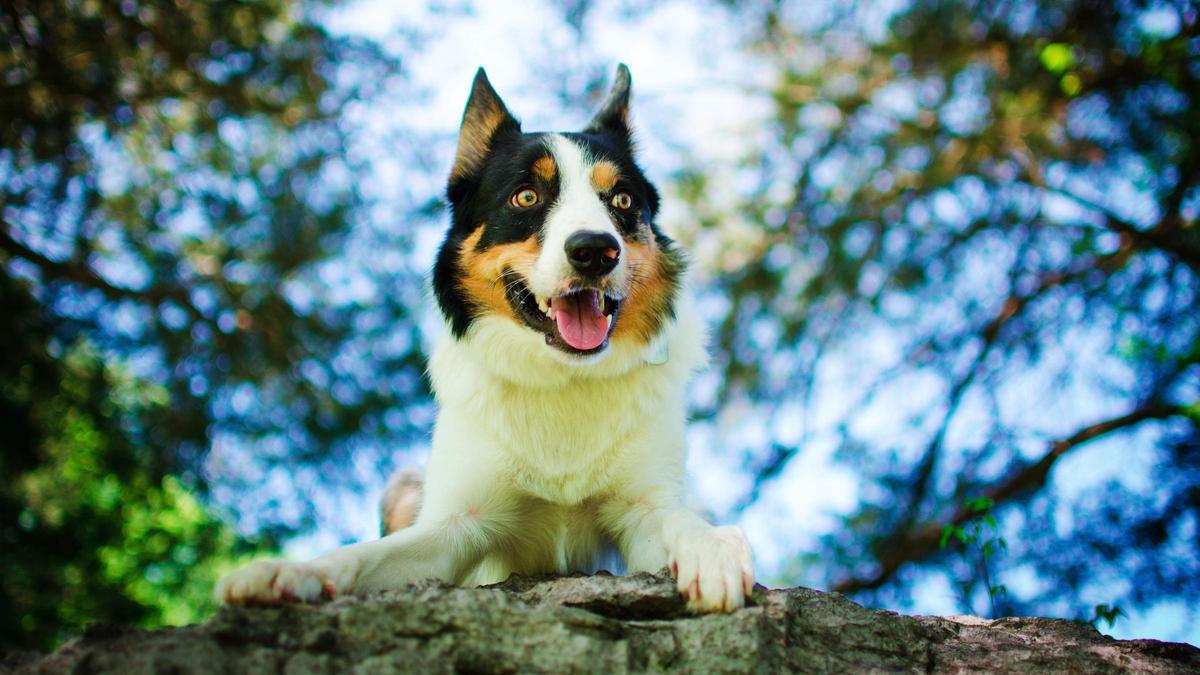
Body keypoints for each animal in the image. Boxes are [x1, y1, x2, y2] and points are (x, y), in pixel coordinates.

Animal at [216, 65, 753, 612]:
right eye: (526, 196)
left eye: (622, 200)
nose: (596, 250)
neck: (561, 378)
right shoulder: (455, 526)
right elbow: (361, 555)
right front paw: (290, 571)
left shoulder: (641, 513)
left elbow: (675, 518)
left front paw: (712, 547)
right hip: (403, 486)